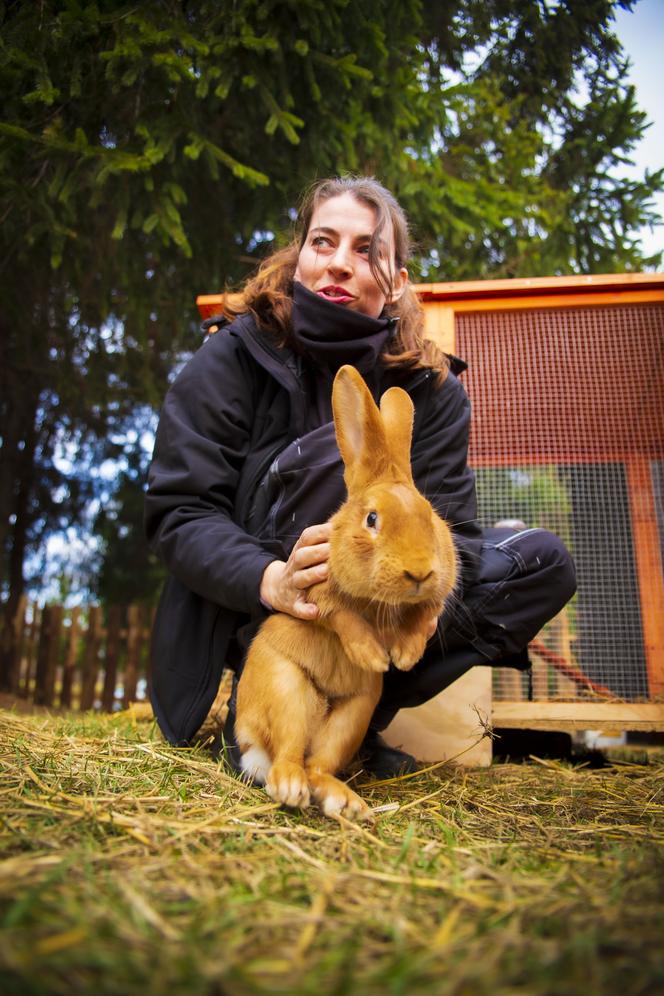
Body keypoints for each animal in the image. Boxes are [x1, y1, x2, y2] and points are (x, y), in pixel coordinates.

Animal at [236, 364, 460, 816]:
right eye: (371, 519)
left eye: (429, 515)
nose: (419, 571)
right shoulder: (317, 591)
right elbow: (343, 617)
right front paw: (373, 655)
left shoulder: (434, 598)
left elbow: (422, 616)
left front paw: (404, 656)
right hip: (285, 690)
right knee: (289, 754)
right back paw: (290, 787)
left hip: (353, 715)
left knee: (319, 766)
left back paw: (345, 802)